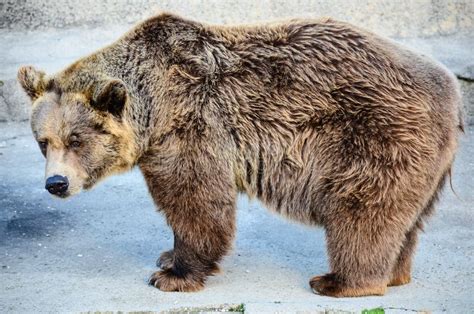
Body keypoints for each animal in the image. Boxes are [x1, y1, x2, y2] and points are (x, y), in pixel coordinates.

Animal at [17, 12, 462, 296]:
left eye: (76, 139)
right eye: (43, 141)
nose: (56, 183)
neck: (155, 105)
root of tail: (452, 89)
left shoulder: (191, 127)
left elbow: (196, 200)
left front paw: (173, 274)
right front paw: (166, 256)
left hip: (376, 135)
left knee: (362, 211)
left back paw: (340, 281)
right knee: (405, 220)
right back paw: (395, 275)